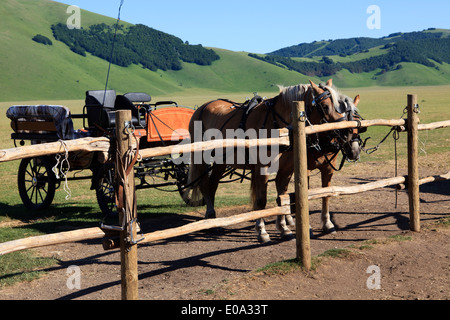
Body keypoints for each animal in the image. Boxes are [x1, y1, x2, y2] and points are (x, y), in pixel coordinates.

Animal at [186, 80, 362, 242]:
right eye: (325, 106)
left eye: (340, 106)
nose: (347, 131)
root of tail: (202, 108)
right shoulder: (264, 168)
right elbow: (262, 200)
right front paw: (262, 231)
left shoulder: (288, 169)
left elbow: (283, 197)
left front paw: (284, 228)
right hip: (203, 157)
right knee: (205, 184)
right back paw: (211, 216)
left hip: (221, 162)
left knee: (212, 184)